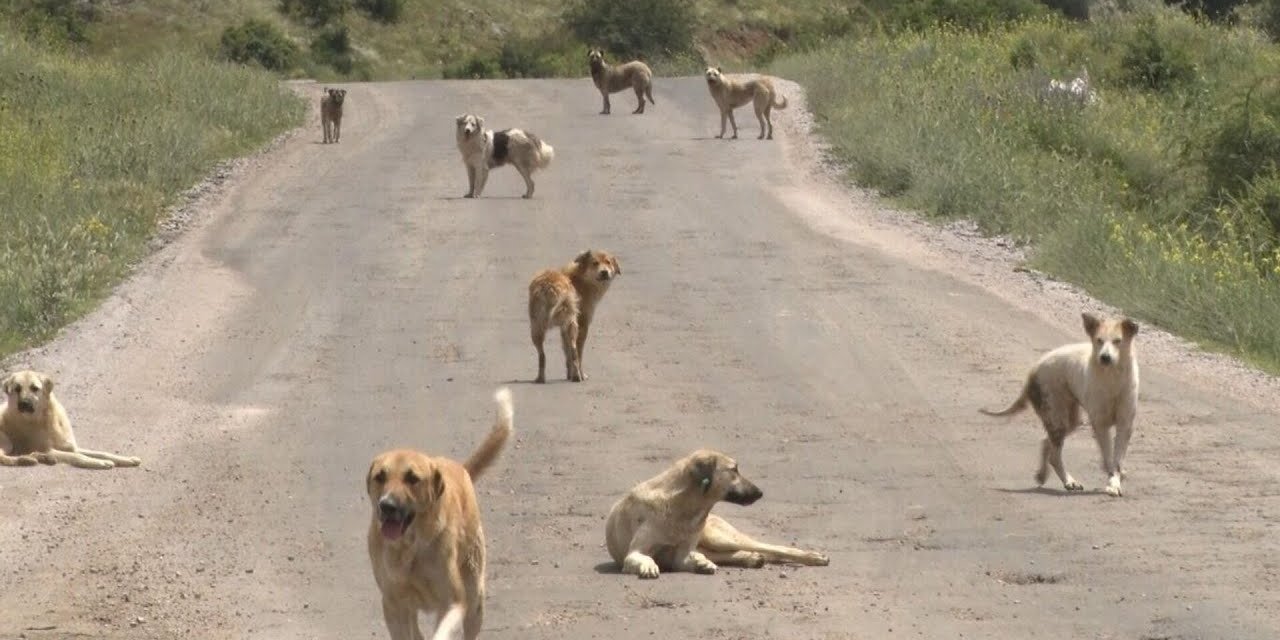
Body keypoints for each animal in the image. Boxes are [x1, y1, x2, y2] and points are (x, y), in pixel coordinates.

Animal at [0, 371, 141, 471]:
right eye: (17, 389)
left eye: (34, 388)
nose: (24, 404)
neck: (45, 419)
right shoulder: (50, 449)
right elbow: (78, 456)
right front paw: (100, 462)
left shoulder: (70, 447)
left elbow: (103, 453)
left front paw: (128, 459)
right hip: (7, 442)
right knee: (3, 458)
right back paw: (26, 460)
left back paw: (40, 458)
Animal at [366, 386, 514, 640]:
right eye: (380, 476)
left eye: (412, 478)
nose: (387, 506)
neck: (410, 546)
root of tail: (461, 467)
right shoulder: (394, 604)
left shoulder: (453, 603)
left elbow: (442, 631)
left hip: (475, 597)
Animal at [527, 247, 622, 381]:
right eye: (595, 263)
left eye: (608, 262)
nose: (604, 272)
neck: (581, 279)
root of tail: (550, 287)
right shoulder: (583, 325)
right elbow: (578, 353)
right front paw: (580, 374)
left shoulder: (563, 329)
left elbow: (566, 354)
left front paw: (569, 374)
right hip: (572, 325)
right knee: (574, 352)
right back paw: (578, 376)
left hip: (537, 328)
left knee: (542, 356)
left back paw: (541, 378)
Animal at [606, 450, 829, 581]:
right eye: (734, 470)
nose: (760, 492)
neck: (682, 507)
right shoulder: (636, 553)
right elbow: (643, 558)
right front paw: (648, 565)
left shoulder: (682, 554)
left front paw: (700, 563)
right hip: (716, 543)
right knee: (741, 553)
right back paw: (749, 559)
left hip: (719, 537)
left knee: (773, 548)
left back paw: (813, 557)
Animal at [977, 312, 1141, 496]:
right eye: (1099, 340)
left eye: (1117, 341)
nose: (1105, 357)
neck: (1112, 377)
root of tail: (1035, 368)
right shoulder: (1101, 424)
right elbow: (1109, 458)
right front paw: (1112, 483)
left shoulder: (1125, 424)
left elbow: (1116, 460)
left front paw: (1116, 481)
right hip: (1059, 419)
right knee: (1054, 456)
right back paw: (1069, 481)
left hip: (1071, 421)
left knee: (1046, 442)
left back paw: (1042, 474)